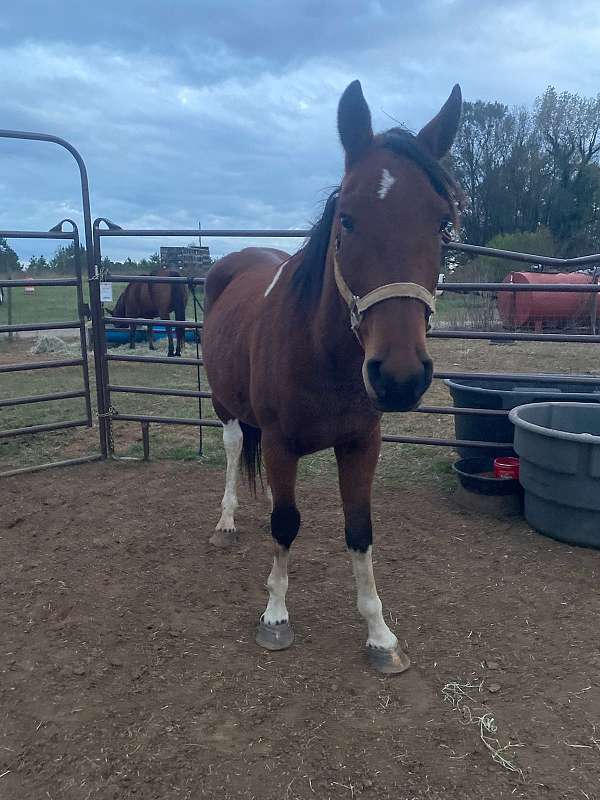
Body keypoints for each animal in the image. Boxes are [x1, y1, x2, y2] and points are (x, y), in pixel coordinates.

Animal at [203, 81, 464, 672]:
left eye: (442, 223)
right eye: (346, 218)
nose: (399, 377)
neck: (321, 353)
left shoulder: (362, 443)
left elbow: (359, 530)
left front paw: (380, 635)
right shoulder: (280, 443)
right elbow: (286, 524)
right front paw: (275, 617)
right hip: (225, 405)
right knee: (232, 449)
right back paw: (227, 523)